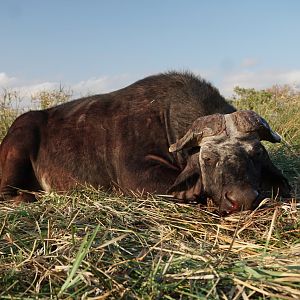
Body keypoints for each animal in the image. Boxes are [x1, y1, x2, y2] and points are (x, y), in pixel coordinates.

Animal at [0, 71, 290, 214]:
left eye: (256, 154)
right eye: (208, 158)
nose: (242, 199)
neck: (165, 117)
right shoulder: (139, 177)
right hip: (19, 145)